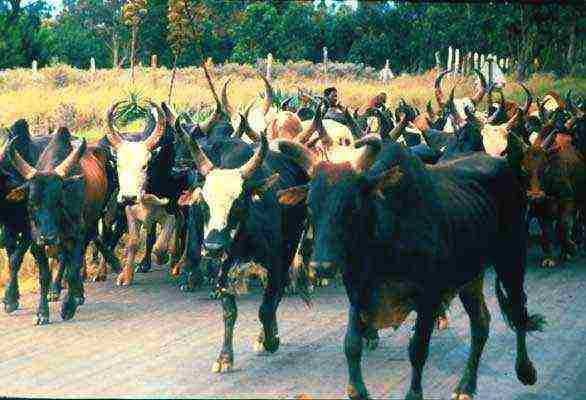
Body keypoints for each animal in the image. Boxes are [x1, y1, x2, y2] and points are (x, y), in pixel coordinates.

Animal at [276, 138, 540, 400]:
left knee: (518, 311)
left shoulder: (429, 297)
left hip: (511, 258)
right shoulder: (358, 293)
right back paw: (466, 386)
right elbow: (351, 344)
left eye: (354, 205)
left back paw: (525, 371)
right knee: (481, 323)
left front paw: (414, 394)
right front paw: (357, 389)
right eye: (310, 206)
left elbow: (418, 349)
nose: (322, 266)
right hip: (470, 277)